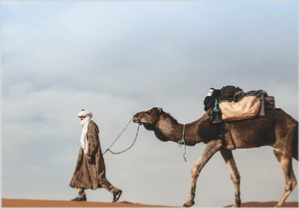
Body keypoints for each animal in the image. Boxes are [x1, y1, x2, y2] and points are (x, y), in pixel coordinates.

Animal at [133, 108, 298, 207]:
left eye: (149, 112)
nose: (135, 116)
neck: (196, 129)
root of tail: (294, 121)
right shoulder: (225, 148)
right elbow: (235, 175)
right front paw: (236, 204)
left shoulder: (214, 141)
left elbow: (195, 168)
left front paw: (188, 201)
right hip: (294, 146)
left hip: (282, 145)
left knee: (291, 180)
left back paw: (277, 205)